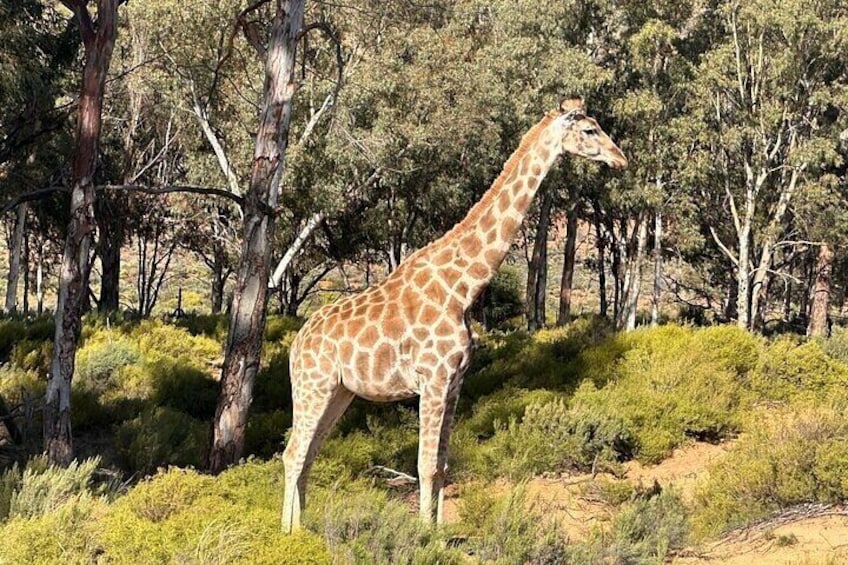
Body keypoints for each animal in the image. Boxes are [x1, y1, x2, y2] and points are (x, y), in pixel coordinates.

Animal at [282, 98, 628, 532]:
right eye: (589, 130)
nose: (621, 159)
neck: (462, 287)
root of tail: (296, 345)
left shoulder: (455, 381)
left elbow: (443, 465)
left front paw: (437, 532)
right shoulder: (432, 378)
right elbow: (425, 465)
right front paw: (421, 534)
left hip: (339, 391)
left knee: (309, 452)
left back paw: (303, 530)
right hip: (313, 385)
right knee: (293, 453)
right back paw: (287, 535)